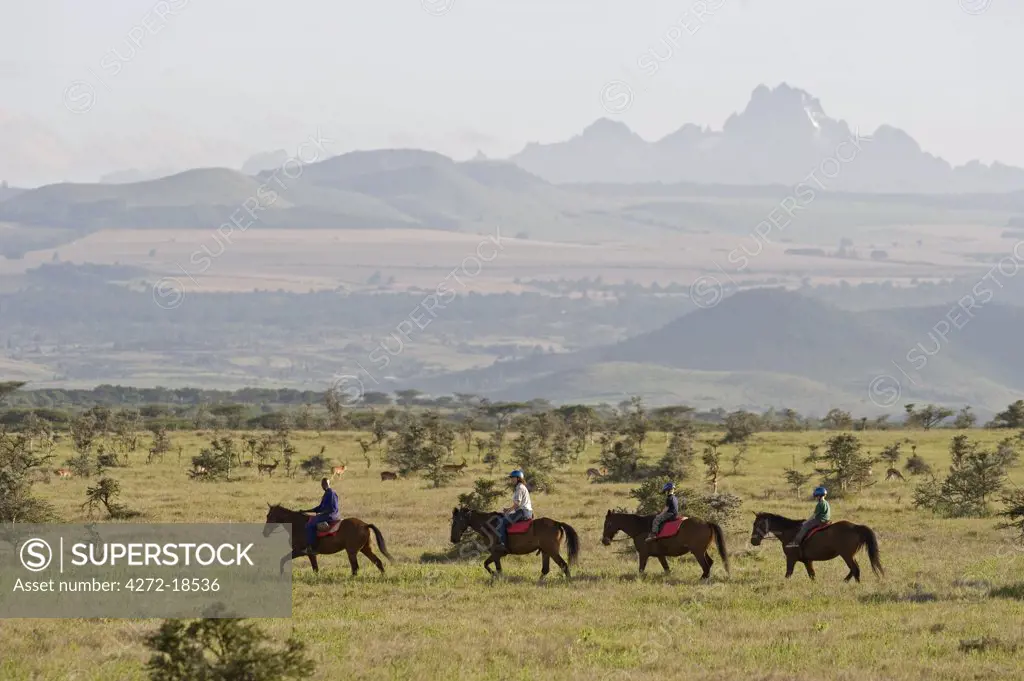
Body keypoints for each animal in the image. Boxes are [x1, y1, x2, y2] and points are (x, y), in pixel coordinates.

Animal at [262, 501, 393, 577]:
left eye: (270, 516)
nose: (264, 533)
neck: (298, 524)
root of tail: (365, 525)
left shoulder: (299, 551)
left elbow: (283, 560)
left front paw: (281, 574)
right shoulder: (311, 554)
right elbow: (315, 569)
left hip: (351, 551)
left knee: (355, 568)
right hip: (365, 549)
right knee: (377, 562)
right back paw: (383, 576)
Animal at [452, 503, 581, 577]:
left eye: (456, 521)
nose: (453, 539)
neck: (490, 525)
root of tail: (557, 523)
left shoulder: (496, 553)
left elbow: (494, 567)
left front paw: (497, 577)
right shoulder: (496, 554)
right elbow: (488, 565)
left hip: (552, 551)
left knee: (564, 565)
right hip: (546, 552)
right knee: (545, 569)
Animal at [598, 509, 729, 577]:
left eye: (608, 524)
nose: (605, 540)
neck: (640, 527)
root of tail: (707, 523)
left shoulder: (644, 554)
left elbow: (641, 570)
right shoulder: (660, 555)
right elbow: (667, 569)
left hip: (698, 552)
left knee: (705, 566)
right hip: (702, 551)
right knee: (709, 563)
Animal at [749, 512, 884, 581]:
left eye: (757, 524)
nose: (753, 541)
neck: (790, 532)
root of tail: (856, 527)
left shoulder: (791, 559)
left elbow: (788, 574)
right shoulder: (807, 561)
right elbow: (812, 575)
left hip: (846, 555)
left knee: (855, 569)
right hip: (849, 555)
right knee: (854, 570)